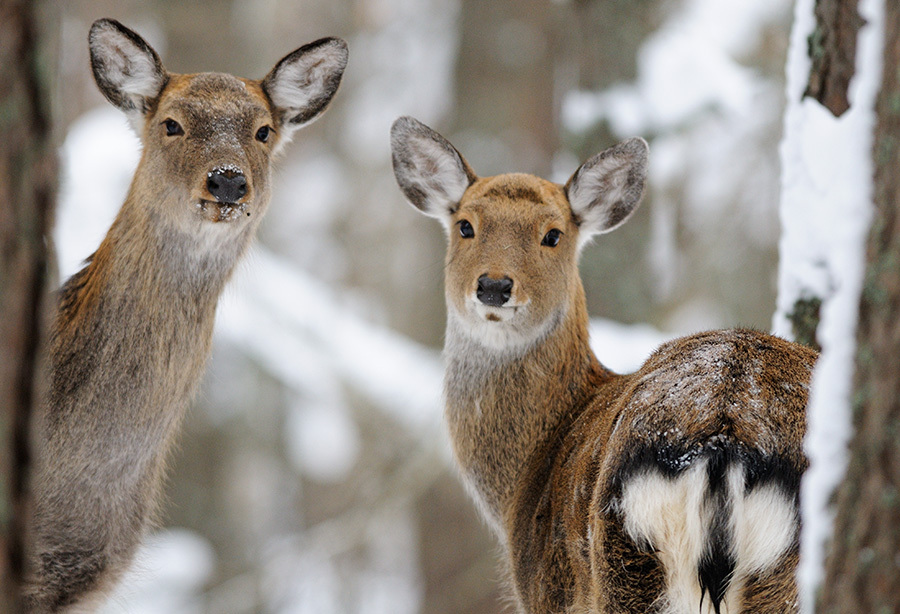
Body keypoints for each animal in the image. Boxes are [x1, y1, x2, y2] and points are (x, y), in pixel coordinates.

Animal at [386, 116, 816, 614]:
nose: (493, 286)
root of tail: (724, 436)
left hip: (622, 559)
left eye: (553, 234)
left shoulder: (548, 592)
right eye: (465, 226)